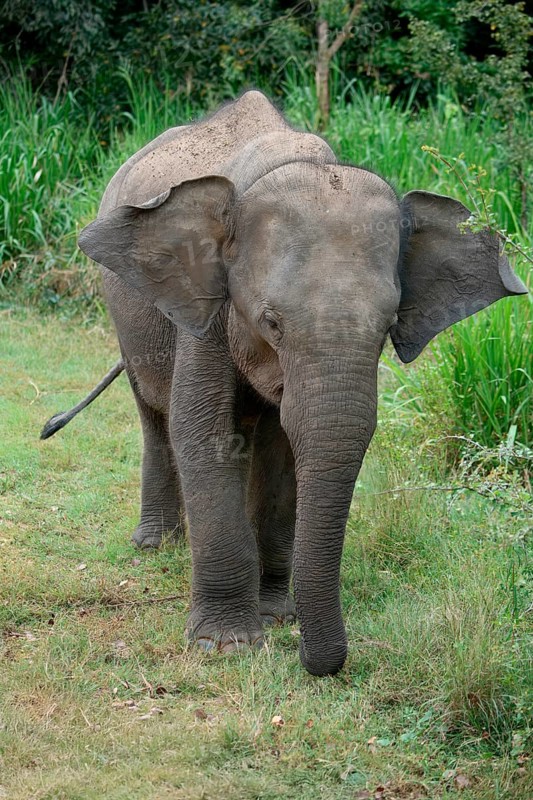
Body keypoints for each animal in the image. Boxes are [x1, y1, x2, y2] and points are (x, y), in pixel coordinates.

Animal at [63, 90, 526, 676]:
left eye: (388, 327)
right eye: (272, 323)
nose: (318, 663)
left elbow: (283, 449)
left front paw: (276, 616)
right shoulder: (207, 311)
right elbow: (206, 434)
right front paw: (227, 644)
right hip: (126, 312)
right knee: (156, 415)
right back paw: (156, 545)